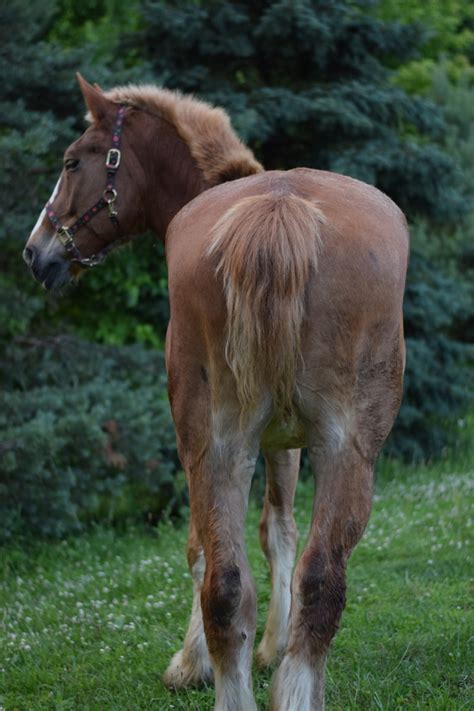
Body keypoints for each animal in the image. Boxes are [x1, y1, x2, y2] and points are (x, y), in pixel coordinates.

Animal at [23, 75, 408, 708]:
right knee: (307, 579)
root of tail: (279, 208)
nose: (36, 253)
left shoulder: (256, 444)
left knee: (228, 574)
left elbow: (230, 540)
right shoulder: (278, 443)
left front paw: (203, 659)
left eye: (72, 160)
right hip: (335, 448)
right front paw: (268, 645)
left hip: (216, 443)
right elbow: (269, 535)